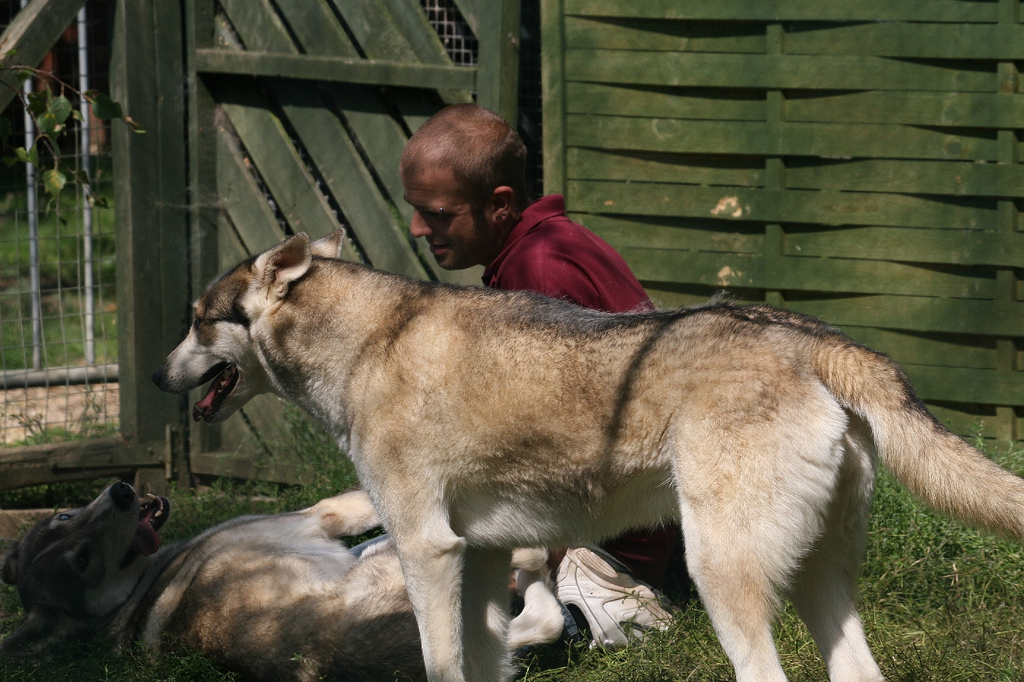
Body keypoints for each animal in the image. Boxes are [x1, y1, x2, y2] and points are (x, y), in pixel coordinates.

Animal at [153, 229, 1024, 682]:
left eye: (198, 320)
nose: (158, 377)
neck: (371, 343)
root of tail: (812, 337)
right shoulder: (480, 559)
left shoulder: (426, 552)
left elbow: (440, 664)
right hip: (818, 581)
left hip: (724, 577)